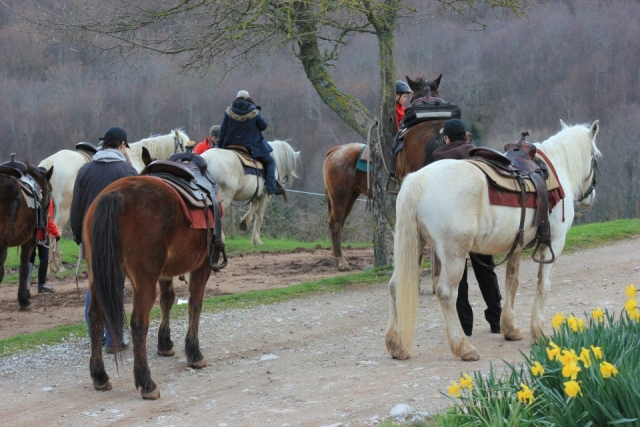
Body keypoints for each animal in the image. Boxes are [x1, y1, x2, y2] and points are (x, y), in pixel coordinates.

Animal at [85, 153, 226, 399]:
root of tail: (115, 195)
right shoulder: (202, 267)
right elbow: (195, 304)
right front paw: (194, 353)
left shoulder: (164, 273)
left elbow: (167, 301)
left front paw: (165, 343)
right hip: (144, 281)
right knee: (138, 323)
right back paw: (146, 381)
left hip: (97, 277)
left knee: (95, 317)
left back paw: (100, 376)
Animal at [323, 75, 444, 271]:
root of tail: (334, 151)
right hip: (340, 196)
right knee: (335, 224)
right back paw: (341, 261)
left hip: (350, 197)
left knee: (339, 224)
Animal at [385, 120, 601, 361]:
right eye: (596, 157)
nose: (590, 197)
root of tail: (418, 180)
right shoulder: (553, 244)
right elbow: (543, 286)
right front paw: (538, 333)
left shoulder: (516, 247)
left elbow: (511, 283)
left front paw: (510, 329)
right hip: (454, 254)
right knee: (447, 293)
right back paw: (463, 347)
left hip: (415, 246)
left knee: (394, 286)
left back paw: (396, 345)